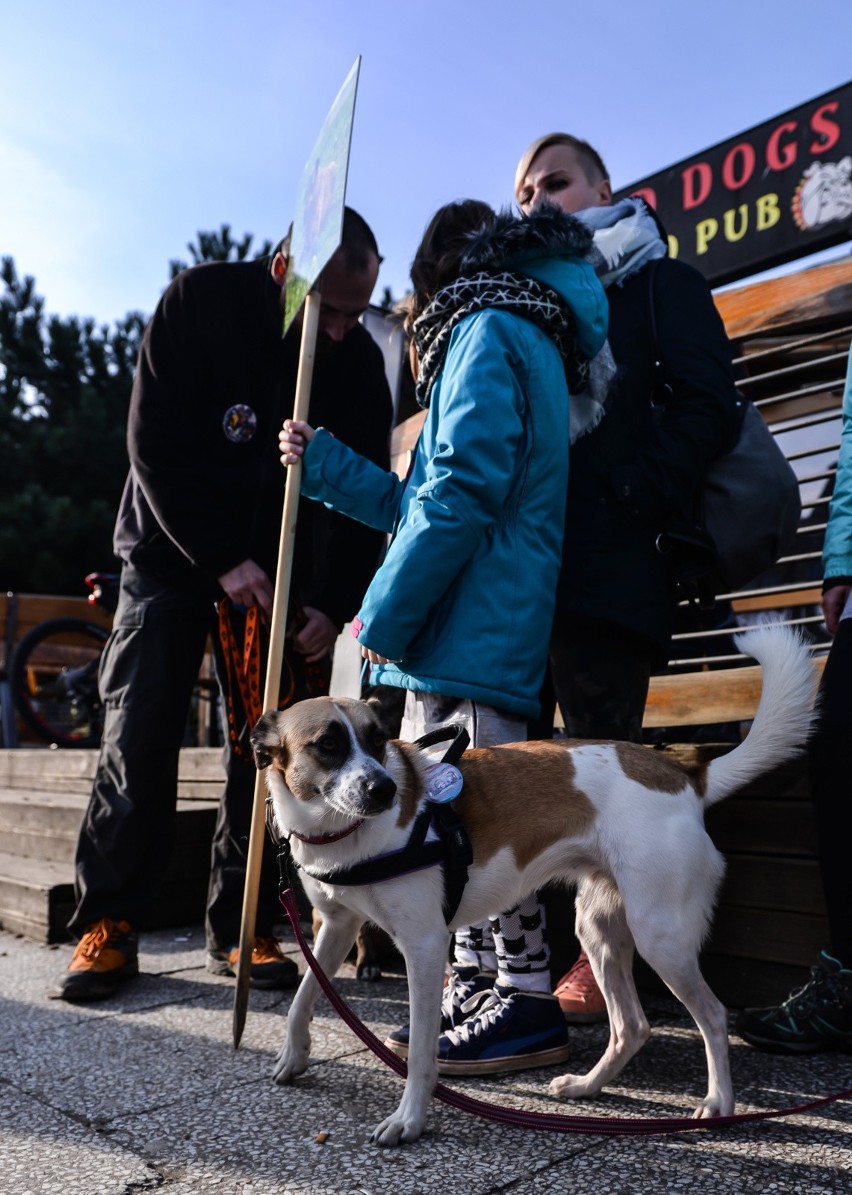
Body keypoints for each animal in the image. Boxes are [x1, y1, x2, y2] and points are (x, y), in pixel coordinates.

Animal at [250, 621, 817, 1142]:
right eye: (328, 745)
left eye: (377, 742)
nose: (387, 790)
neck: (341, 830)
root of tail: (685, 776)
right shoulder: (337, 925)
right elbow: (304, 994)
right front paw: (293, 1055)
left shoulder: (424, 945)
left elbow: (420, 1052)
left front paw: (409, 1119)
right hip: (600, 931)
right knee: (631, 1025)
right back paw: (588, 1087)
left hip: (661, 936)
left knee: (714, 1016)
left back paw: (719, 1102)